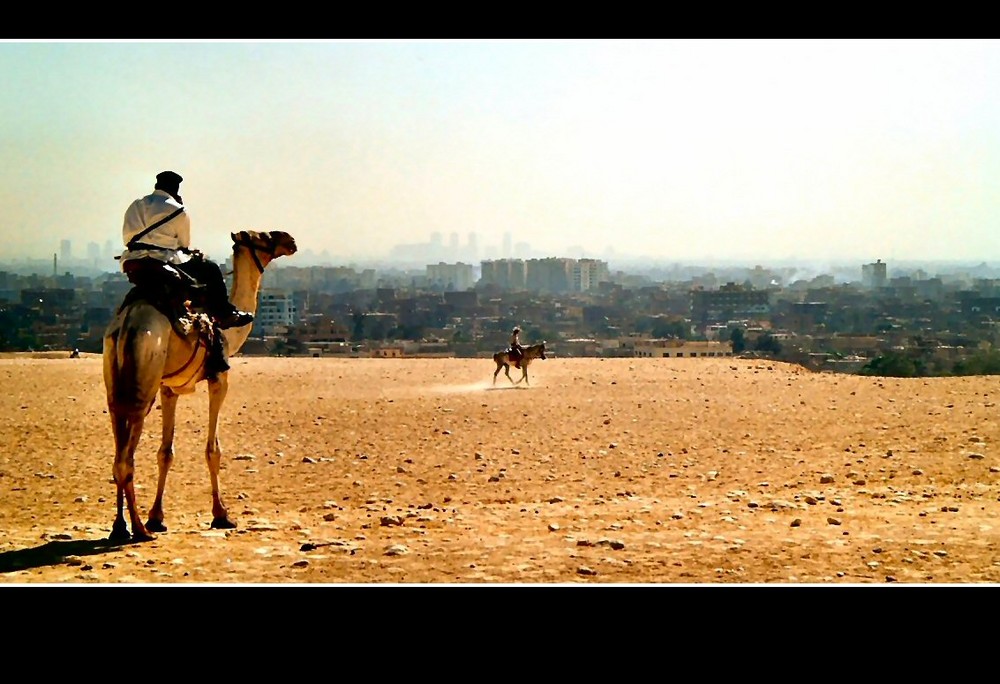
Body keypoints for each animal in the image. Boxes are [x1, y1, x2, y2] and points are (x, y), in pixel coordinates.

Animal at [103, 232, 296, 544]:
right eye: (264, 236)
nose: (290, 240)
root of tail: (126, 327)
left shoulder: (169, 389)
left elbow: (165, 453)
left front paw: (157, 518)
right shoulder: (219, 379)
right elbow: (212, 450)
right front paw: (221, 515)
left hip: (114, 385)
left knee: (118, 450)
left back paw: (120, 527)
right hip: (142, 386)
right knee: (125, 459)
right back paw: (139, 530)